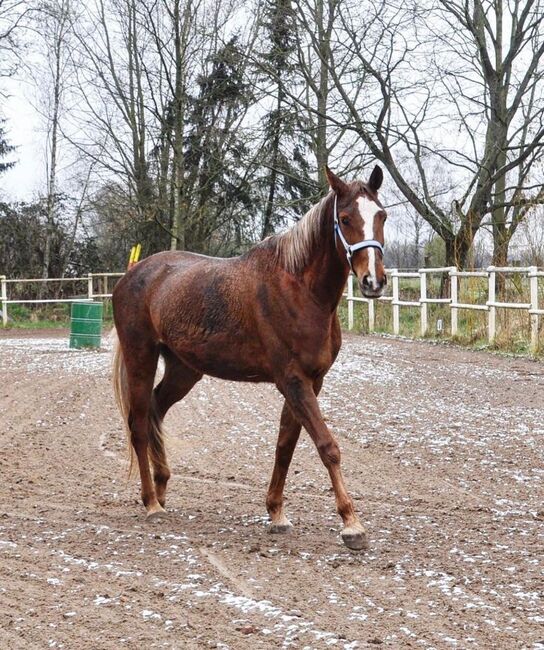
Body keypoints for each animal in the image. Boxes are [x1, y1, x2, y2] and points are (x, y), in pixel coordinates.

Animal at [112, 165, 388, 548]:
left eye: (382, 215)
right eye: (345, 219)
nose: (373, 281)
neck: (300, 291)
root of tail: (132, 275)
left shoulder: (311, 382)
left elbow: (285, 446)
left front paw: (276, 513)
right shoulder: (293, 381)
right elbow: (326, 445)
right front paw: (351, 524)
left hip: (184, 369)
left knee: (155, 410)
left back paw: (162, 487)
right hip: (141, 357)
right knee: (138, 423)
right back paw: (151, 503)